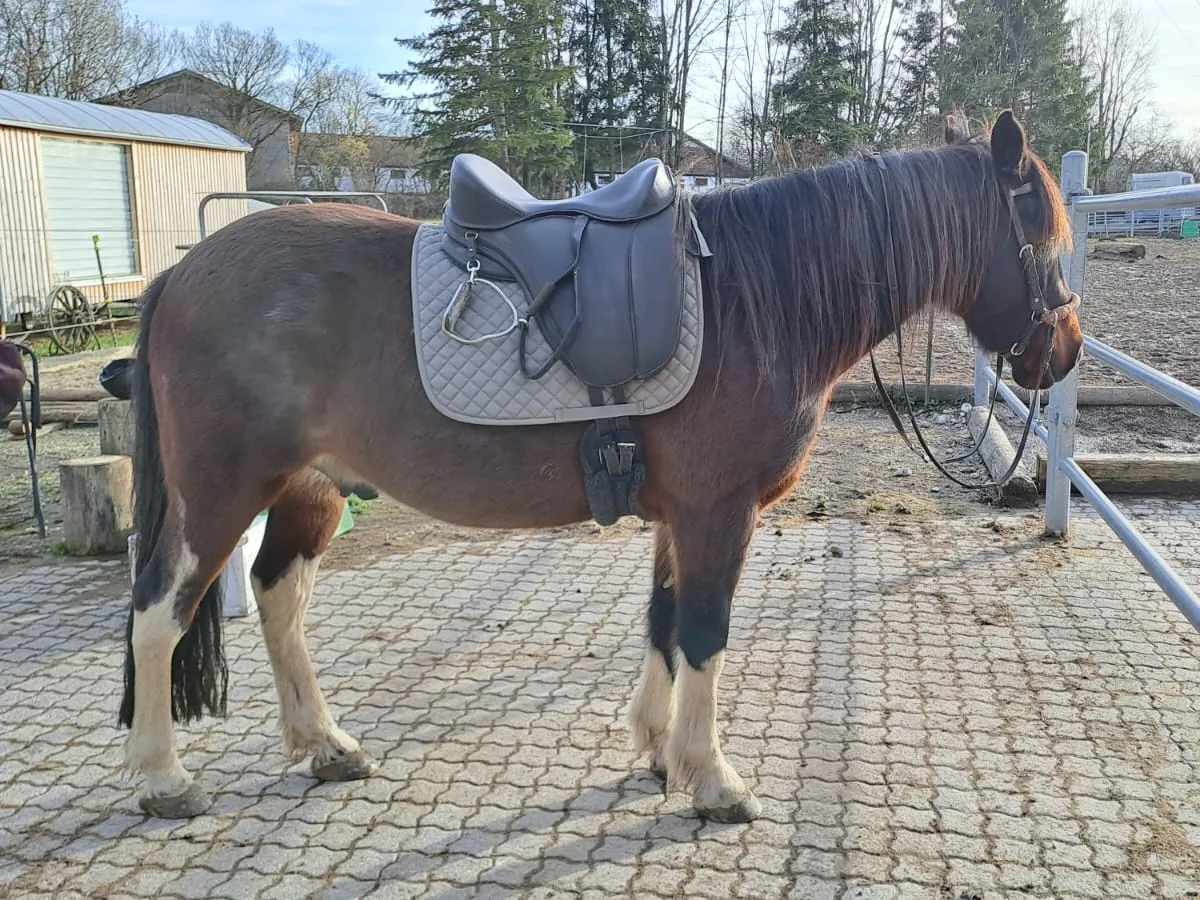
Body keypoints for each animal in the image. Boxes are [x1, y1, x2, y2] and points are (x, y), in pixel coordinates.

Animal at [118, 110, 1082, 823]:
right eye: (1044, 232)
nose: (1066, 350)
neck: (759, 297)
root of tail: (182, 276)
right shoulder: (719, 511)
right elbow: (704, 634)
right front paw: (714, 781)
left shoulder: (679, 516)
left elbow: (662, 624)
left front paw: (658, 751)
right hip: (220, 492)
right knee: (159, 613)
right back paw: (163, 778)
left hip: (307, 488)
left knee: (279, 596)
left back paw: (326, 745)